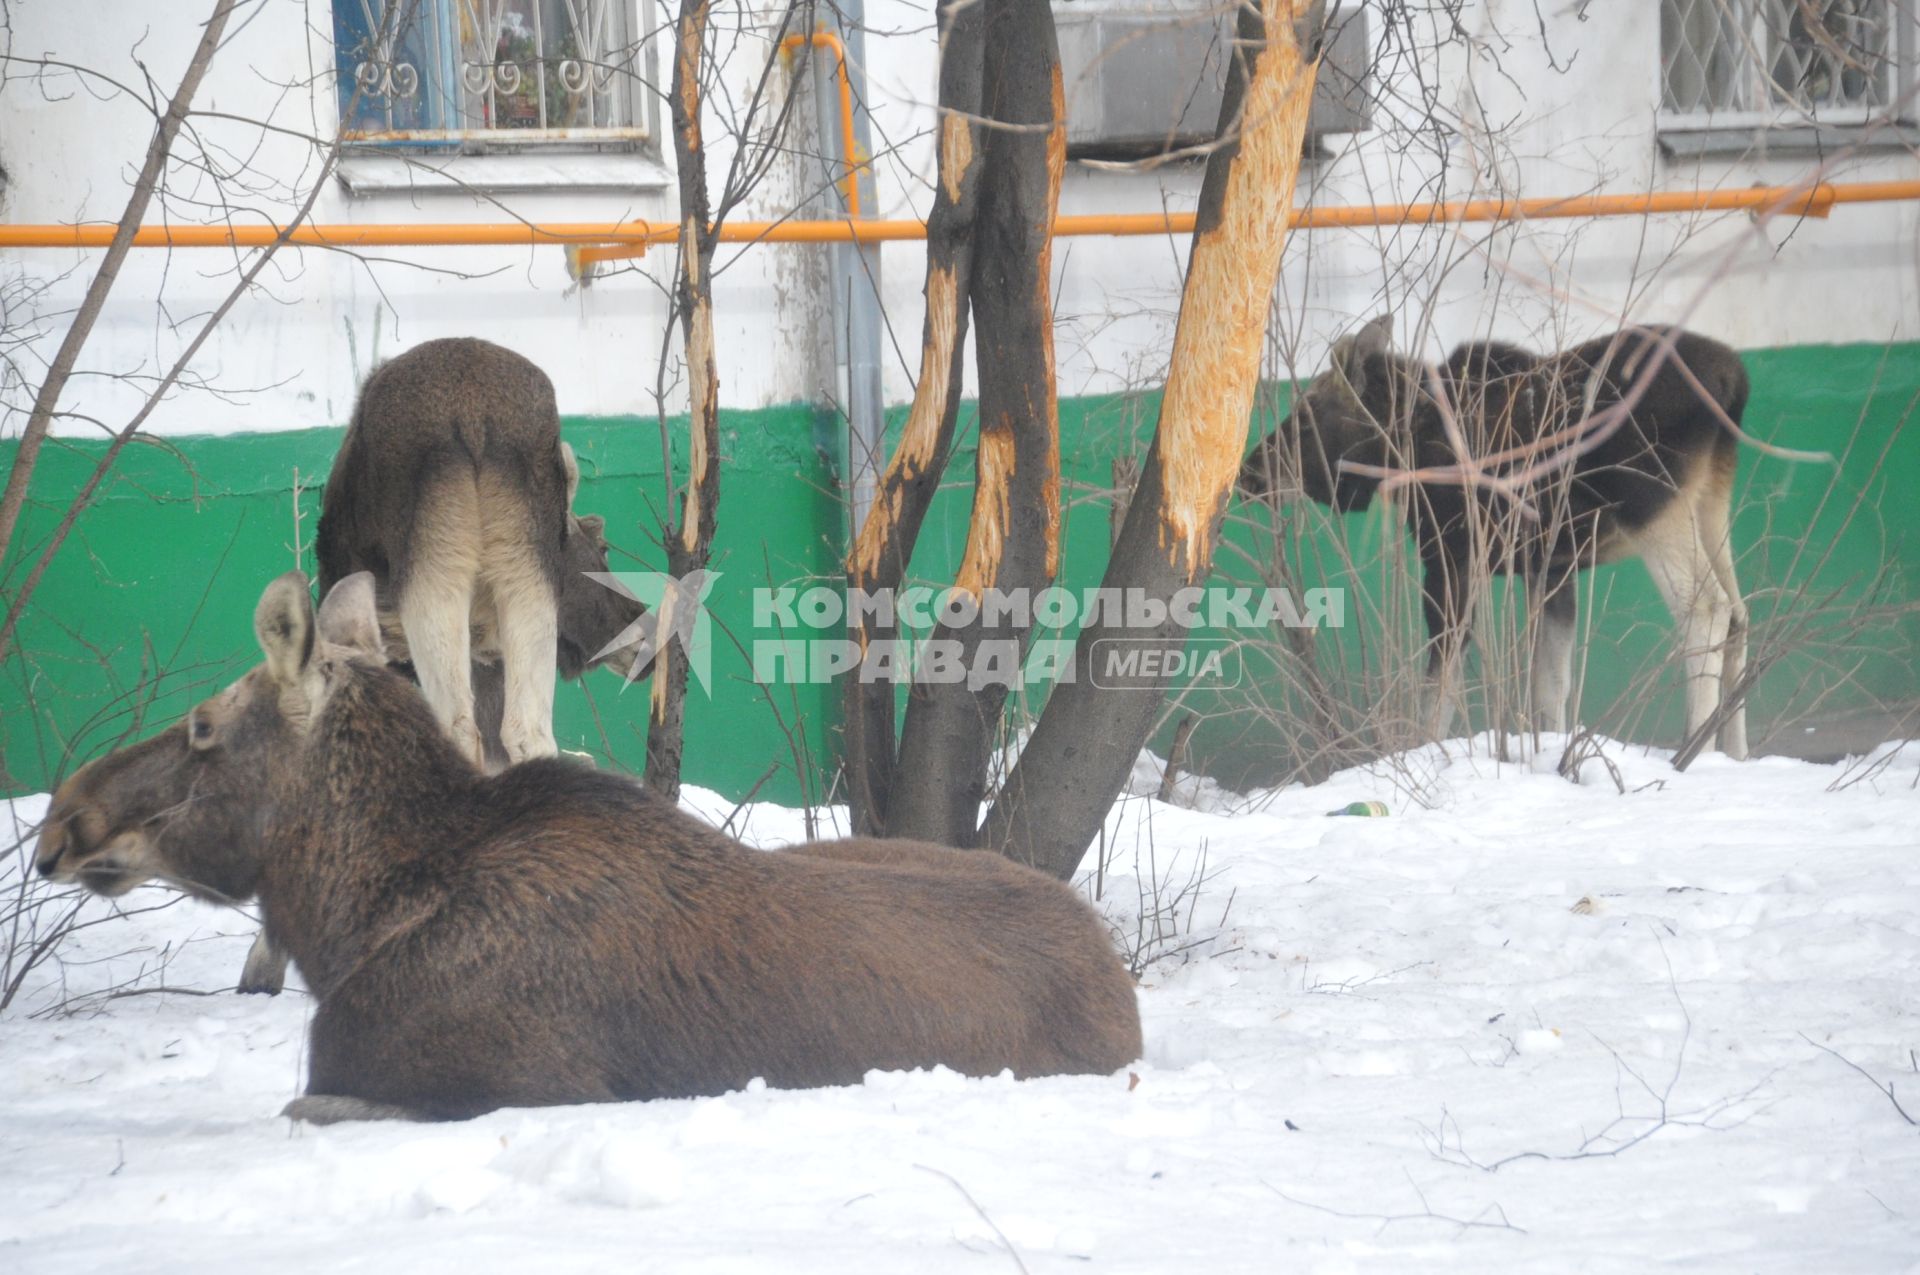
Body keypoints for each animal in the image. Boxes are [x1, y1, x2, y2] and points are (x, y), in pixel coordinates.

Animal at [1236, 316, 1751, 756]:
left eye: (1305, 414)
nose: (1250, 470)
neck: (1404, 444)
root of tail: (1734, 379)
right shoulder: (1551, 568)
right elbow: (1552, 688)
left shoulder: (1452, 560)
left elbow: (1438, 693)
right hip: (1709, 503)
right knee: (1740, 613)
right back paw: (1734, 751)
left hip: (1654, 509)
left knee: (1707, 606)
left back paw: (1695, 748)